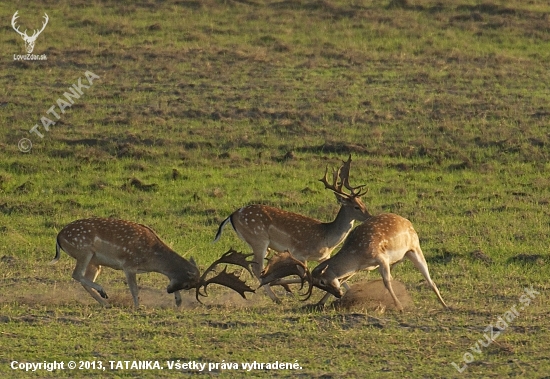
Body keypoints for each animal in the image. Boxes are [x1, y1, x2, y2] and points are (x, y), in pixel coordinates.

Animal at [51, 217, 254, 308]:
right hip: (84, 251)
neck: (151, 257)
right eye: (188, 284)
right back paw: (103, 293)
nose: (170, 292)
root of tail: (59, 237)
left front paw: (178, 302)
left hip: (95, 262)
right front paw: (138, 307)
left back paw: (104, 301)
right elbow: (134, 289)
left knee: (84, 278)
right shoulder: (129, 264)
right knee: (76, 274)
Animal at [216, 154, 370, 302]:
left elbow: (339, 277)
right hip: (258, 239)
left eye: (363, 203)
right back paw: (276, 298)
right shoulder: (300, 253)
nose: (370, 217)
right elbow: (305, 274)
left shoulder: (324, 257)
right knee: (257, 267)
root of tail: (232, 215)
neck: (326, 238)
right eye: (356, 207)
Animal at [260, 214, 450, 312]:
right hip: (398, 259)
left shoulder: (381, 258)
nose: (337, 295)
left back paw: (445, 305)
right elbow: (344, 279)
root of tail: (407, 221)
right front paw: (320, 303)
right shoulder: (359, 267)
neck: (356, 254)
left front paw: (400, 307)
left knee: (430, 279)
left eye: (321, 281)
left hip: (414, 249)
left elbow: (386, 282)